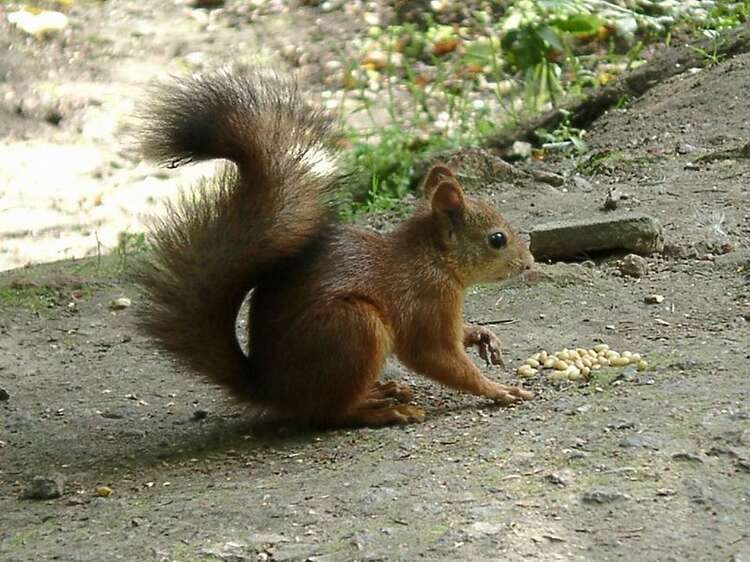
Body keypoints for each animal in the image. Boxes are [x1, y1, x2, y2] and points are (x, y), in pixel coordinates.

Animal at [134, 68, 536, 426]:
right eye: (497, 239)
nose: (530, 262)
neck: (433, 258)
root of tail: (272, 390)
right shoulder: (427, 300)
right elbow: (432, 354)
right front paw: (498, 390)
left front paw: (482, 335)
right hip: (352, 327)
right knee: (329, 414)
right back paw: (383, 410)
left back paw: (384, 391)